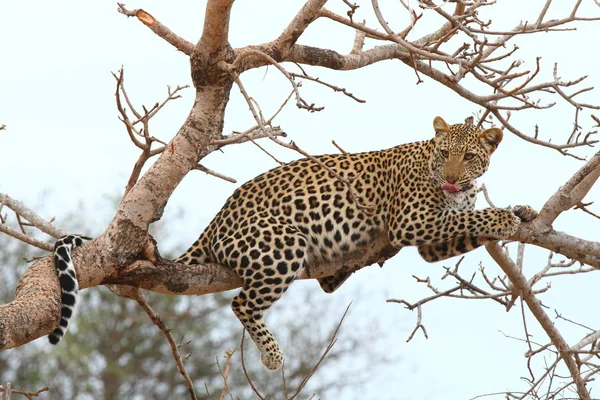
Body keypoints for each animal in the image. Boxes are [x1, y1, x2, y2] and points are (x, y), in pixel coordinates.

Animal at [49, 115, 536, 372]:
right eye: (443, 154)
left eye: (469, 156)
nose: (451, 177)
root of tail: (215, 222)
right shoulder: (415, 221)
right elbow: (473, 216)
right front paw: (504, 215)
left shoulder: (434, 241)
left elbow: (467, 224)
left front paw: (524, 211)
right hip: (282, 246)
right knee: (242, 304)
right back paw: (272, 355)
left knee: (320, 286)